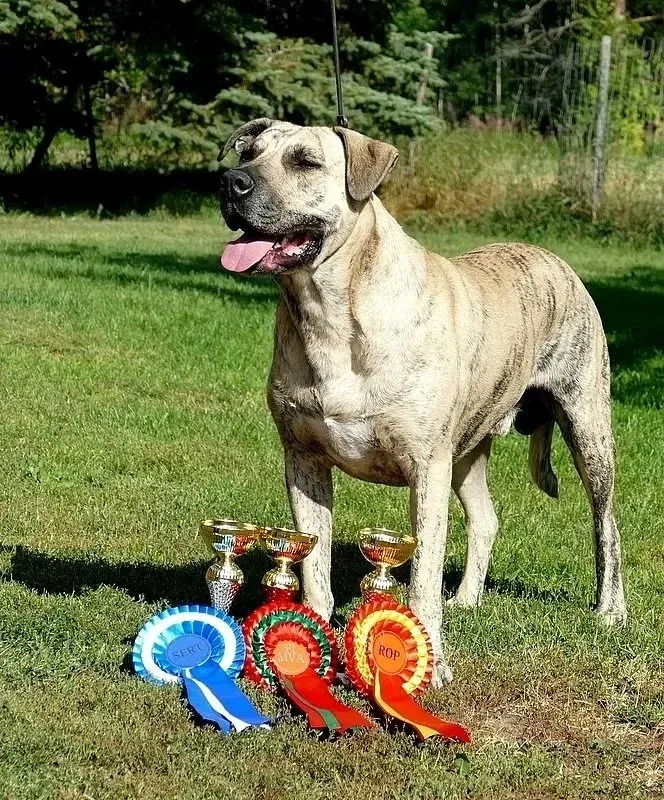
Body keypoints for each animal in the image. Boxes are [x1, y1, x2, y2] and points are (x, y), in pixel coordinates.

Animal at [219, 115, 628, 684]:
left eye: (305, 162)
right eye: (247, 153)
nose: (231, 182)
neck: (329, 311)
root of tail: (556, 260)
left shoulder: (426, 467)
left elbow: (422, 578)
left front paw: (428, 664)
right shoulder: (303, 461)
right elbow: (313, 563)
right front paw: (306, 646)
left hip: (587, 424)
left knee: (606, 522)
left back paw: (610, 610)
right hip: (468, 448)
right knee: (485, 517)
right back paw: (468, 598)